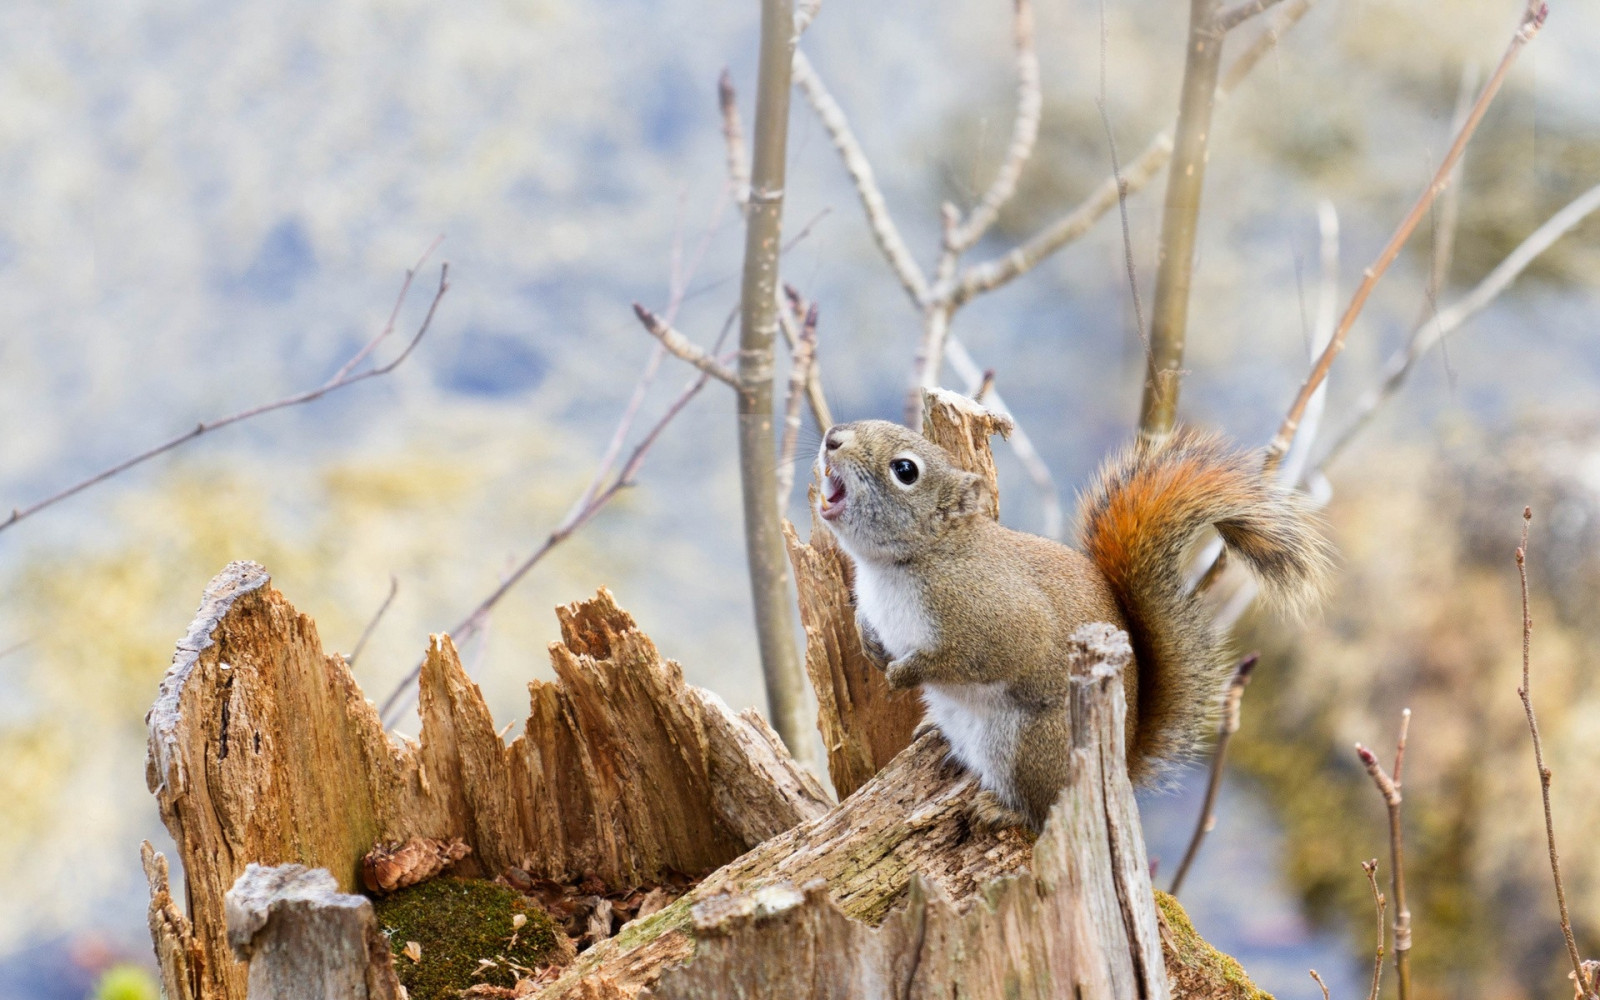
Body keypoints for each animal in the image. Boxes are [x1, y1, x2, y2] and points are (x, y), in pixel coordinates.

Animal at [814, 418, 1332, 831]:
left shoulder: (995, 617)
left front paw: (904, 673)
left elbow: (972, 658)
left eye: (905, 471)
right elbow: (868, 624)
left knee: (1043, 810)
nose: (832, 438)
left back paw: (1002, 810)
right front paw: (870, 643)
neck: (898, 565)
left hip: (1031, 746)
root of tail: (1120, 764)